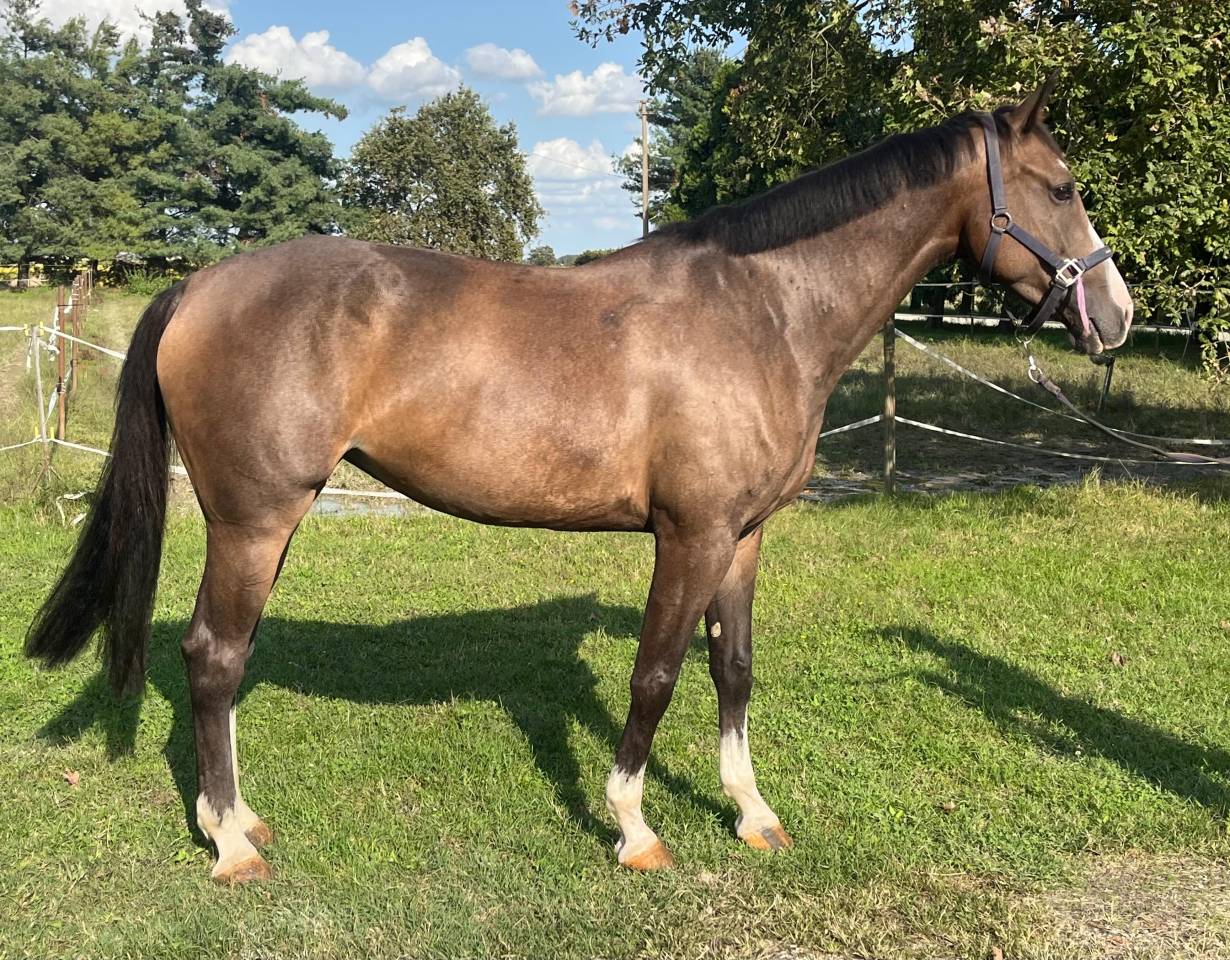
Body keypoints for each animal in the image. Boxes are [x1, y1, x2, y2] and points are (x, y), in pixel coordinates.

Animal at [27, 77, 1133, 883]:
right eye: (1064, 186)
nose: (1117, 315)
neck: (761, 311)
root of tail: (198, 284)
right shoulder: (689, 535)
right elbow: (655, 675)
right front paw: (634, 828)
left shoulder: (743, 536)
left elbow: (733, 671)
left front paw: (752, 813)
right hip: (255, 520)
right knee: (213, 658)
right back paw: (229, 843)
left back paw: (241, 819)